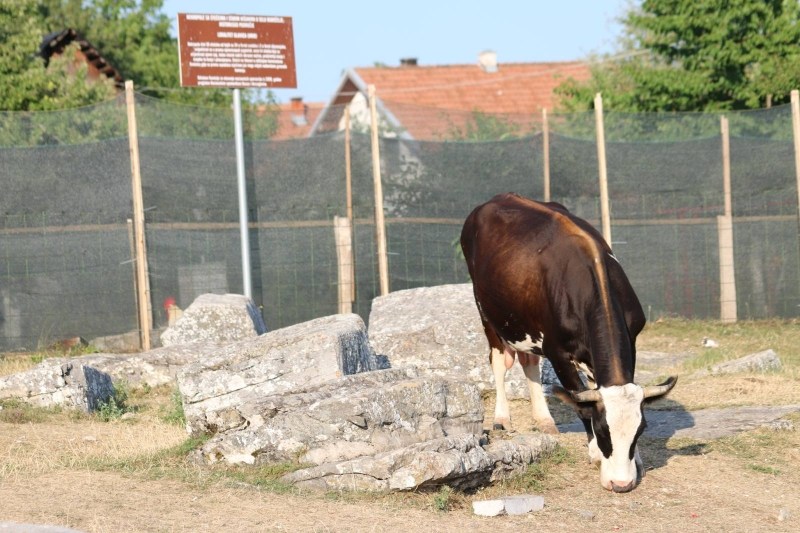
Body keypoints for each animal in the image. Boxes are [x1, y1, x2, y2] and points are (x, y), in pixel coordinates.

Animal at [460, 193, 680, 492]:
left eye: (641, 430)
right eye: (602, 430)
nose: (621, 484)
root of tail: (498, 198)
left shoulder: (630, 340)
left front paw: (638, 461)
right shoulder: (558, 352)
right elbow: (581, 405)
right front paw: (595, 454)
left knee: (529, 360)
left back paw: (544, 420)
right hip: (486, 312)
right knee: (499, 363)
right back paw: (502, 418)